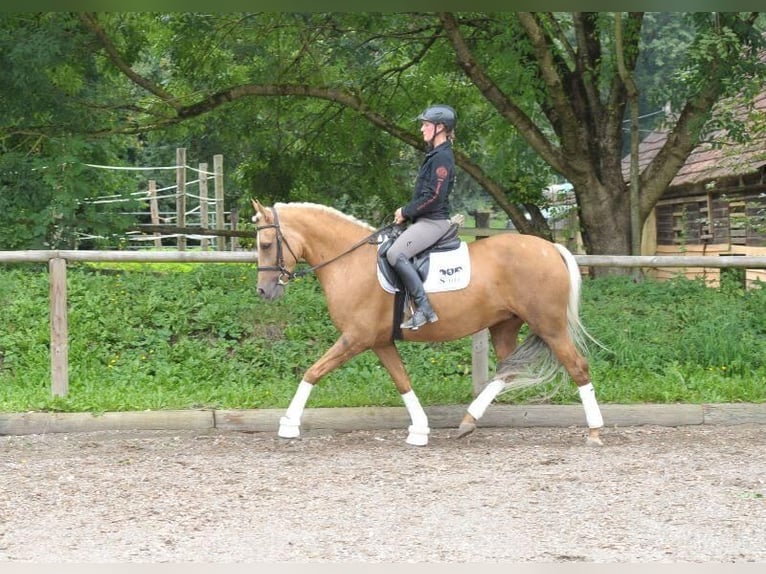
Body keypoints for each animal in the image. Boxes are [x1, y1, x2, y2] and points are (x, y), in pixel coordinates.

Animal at [252, 200, 608, 448]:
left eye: (266, 245)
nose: (264, 291)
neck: (349, 261)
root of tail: (552, 248)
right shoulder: (380, 342)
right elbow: (402, 381)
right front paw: (420, 429)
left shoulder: (355, 338)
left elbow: (313, 371)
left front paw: (288, 424)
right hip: (505, 325)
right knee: (507, 371)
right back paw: (468, 421)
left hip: (549, 326)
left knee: (578, 366)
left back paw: (594, 431)